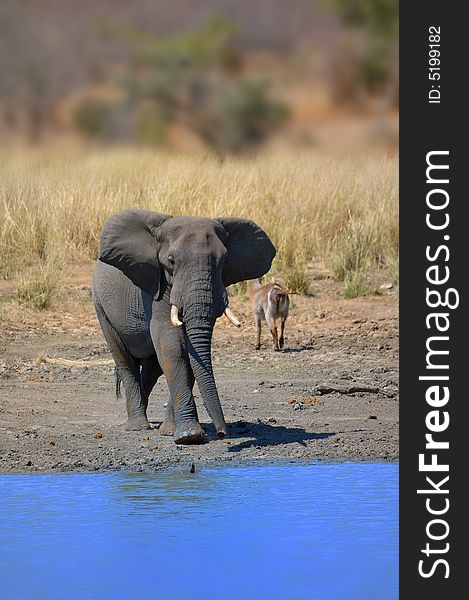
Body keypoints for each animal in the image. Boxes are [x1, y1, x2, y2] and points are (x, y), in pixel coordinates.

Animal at [91, 209, 274, 442]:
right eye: (171, 261)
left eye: (224, 262)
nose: (222, 432)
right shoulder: (159, 287)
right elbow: (172, 346)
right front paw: (190, 436)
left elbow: (188, 353)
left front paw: (174, 432)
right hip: (100, 306)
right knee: (125, 361)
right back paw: (138, 427)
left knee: (151, 370)